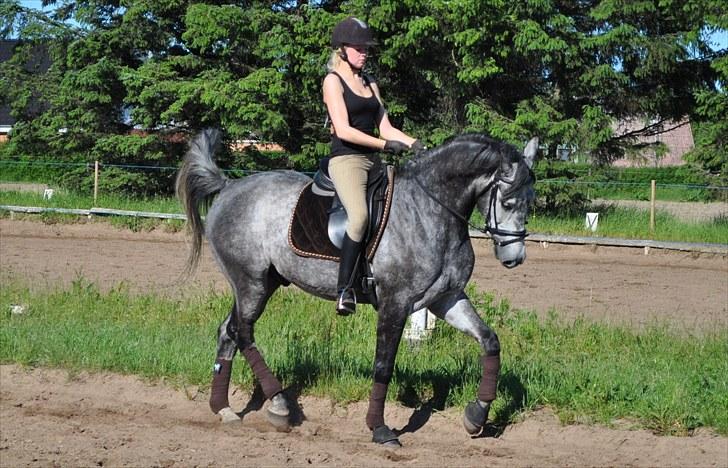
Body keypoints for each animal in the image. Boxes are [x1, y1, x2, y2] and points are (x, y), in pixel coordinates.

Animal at [174, 129, 536, 446]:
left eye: (528, 202)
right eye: (507, 201)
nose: (514, 258)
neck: (431, 209)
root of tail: (229, 187)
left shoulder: (446, 299)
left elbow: (489, 341)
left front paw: (477, 415)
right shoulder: (395, 303)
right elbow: (383, 366)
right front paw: (379, 429)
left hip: (263, 282)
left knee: (228, 331)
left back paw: (223, 408)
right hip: (250, 282)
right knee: (243, 332)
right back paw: (278, 405)